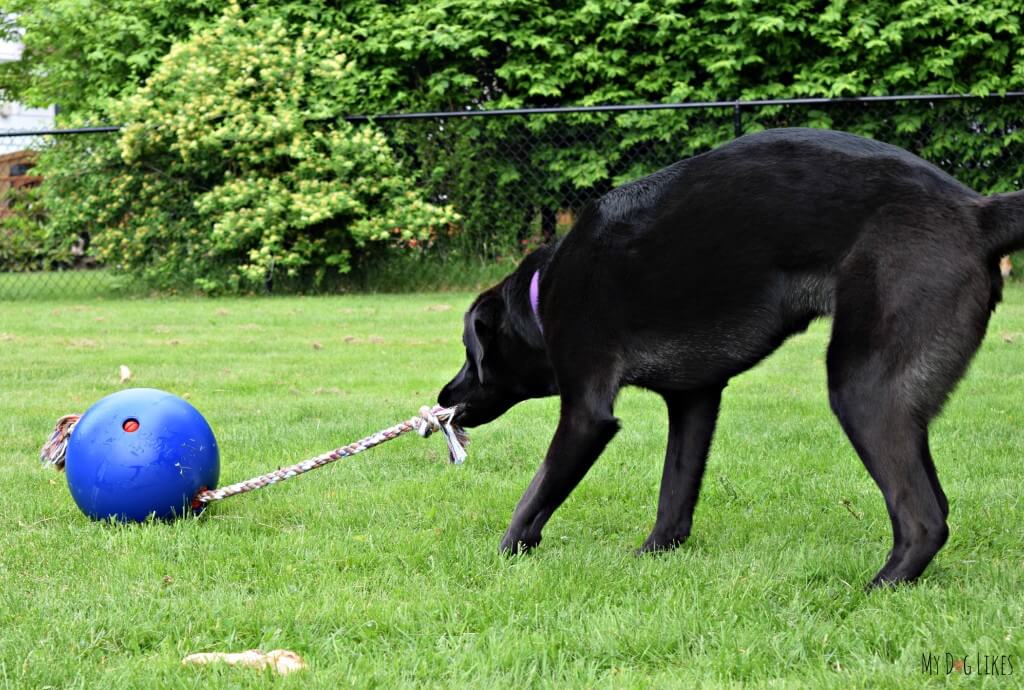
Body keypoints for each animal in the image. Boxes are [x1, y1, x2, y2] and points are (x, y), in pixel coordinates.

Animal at [434, 126, 1024, 581]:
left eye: (469, 353)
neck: (542, 294)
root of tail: (976, 211)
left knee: (924, 519)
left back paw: (877, 588)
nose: (443, 396)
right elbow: (674, 497)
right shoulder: (694, 398)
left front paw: (504, 554)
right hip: (901, 399)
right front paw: (651, 555)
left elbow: (534, 496)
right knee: (935, 504)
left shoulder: (586, 413)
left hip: (863, 386)